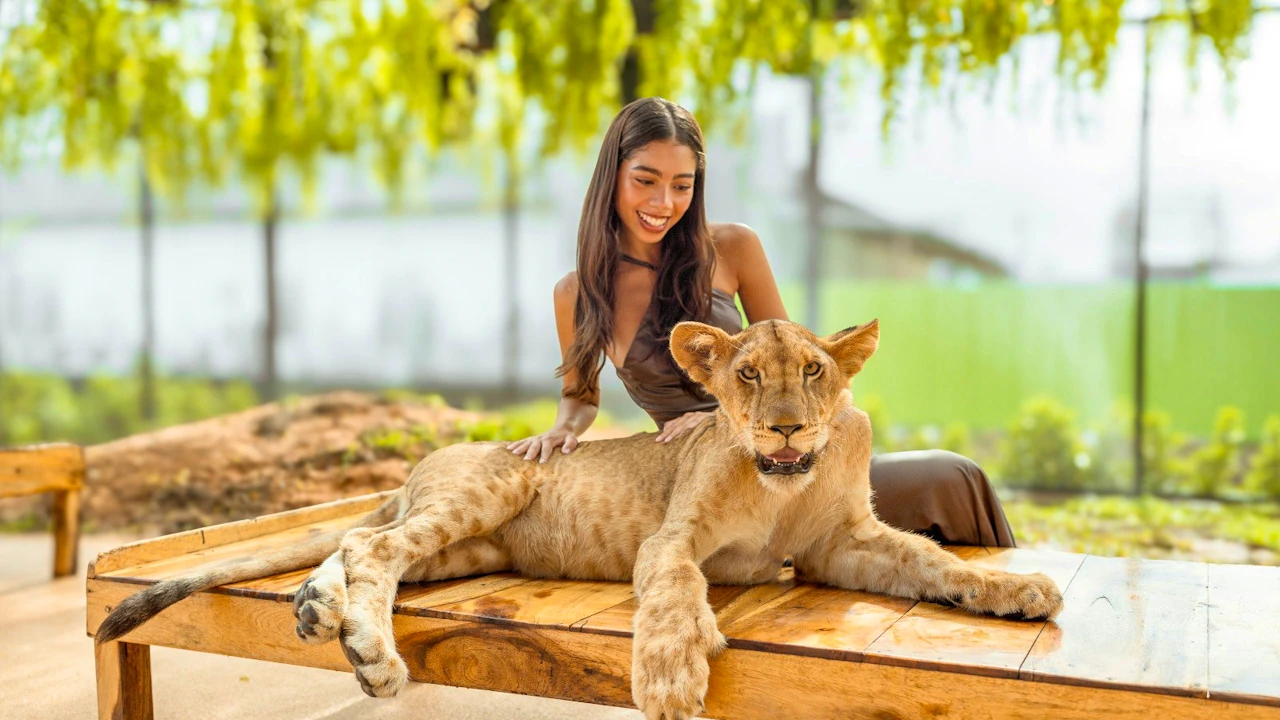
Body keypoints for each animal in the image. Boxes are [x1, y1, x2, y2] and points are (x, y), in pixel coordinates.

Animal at [97, 318, 1062, 720]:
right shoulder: (675, 538)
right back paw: (368, 652)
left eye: (814, 373)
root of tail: (420, 465)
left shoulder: (841, 548)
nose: (786, 427)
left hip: (468, 548)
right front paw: (670, 678)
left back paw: (317, 610)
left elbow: (935, 564)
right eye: (747, 375)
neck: (784, 483)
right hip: (492, 492)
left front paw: (1017, 593)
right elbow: (673, 590)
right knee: (370, 542)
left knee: (358, 543)